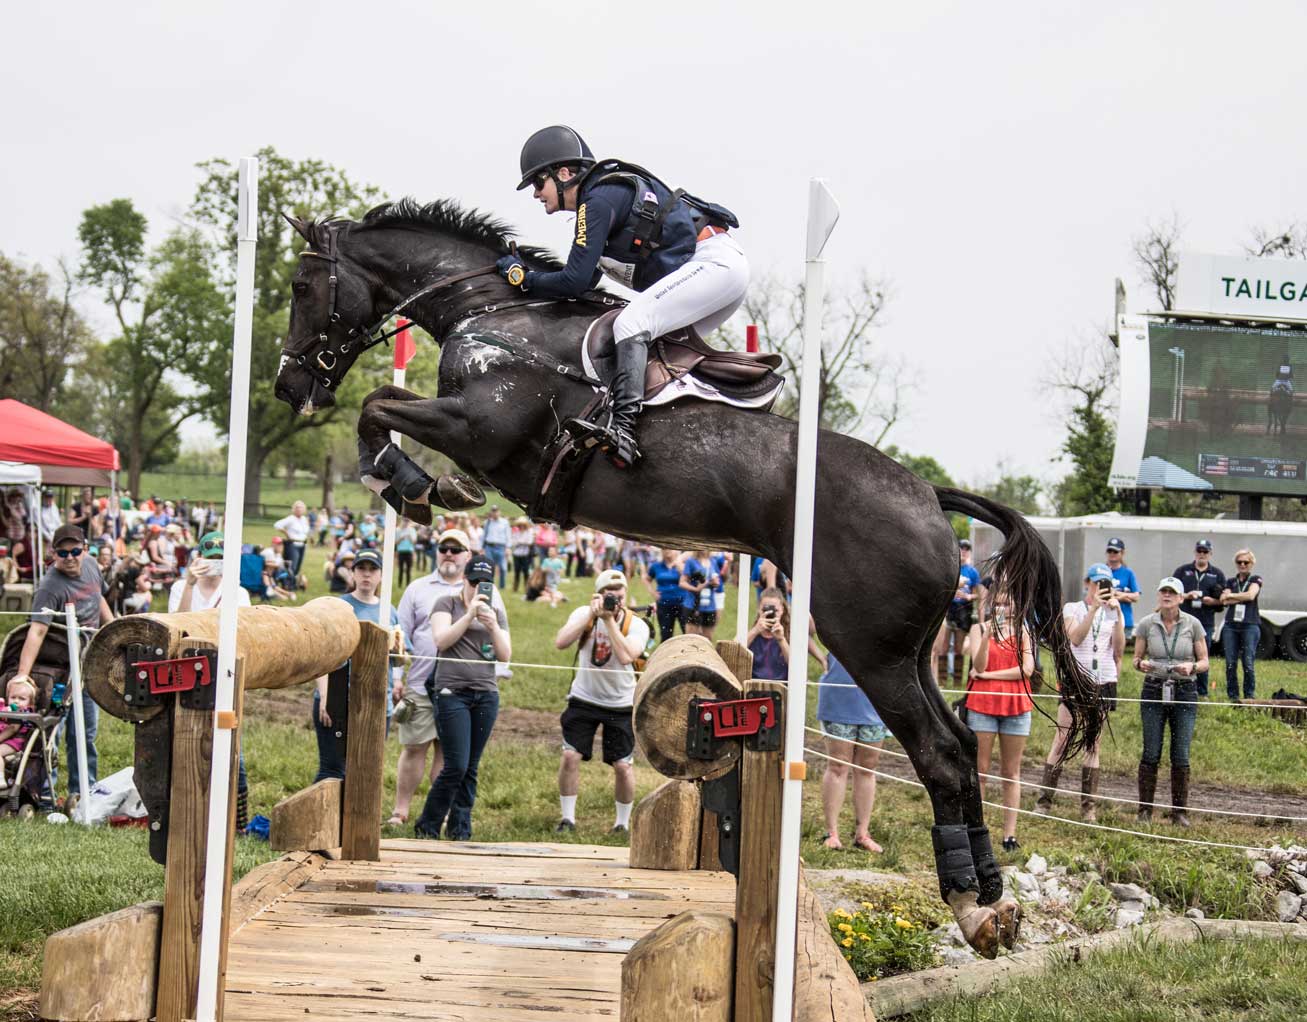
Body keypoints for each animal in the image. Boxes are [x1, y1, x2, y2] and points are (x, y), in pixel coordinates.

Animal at [273, 202, 1103, 961]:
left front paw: (416, 485)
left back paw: (967, 903)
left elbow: (378, 407)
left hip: (868, 649)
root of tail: (930, 498)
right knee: (961, 746)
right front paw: (410, 483)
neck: (496, 315)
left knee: (936, 752)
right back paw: (989, 904)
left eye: (303, 285)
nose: (288, 388)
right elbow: (381, 406)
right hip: (910, 652)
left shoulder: (480, 432)